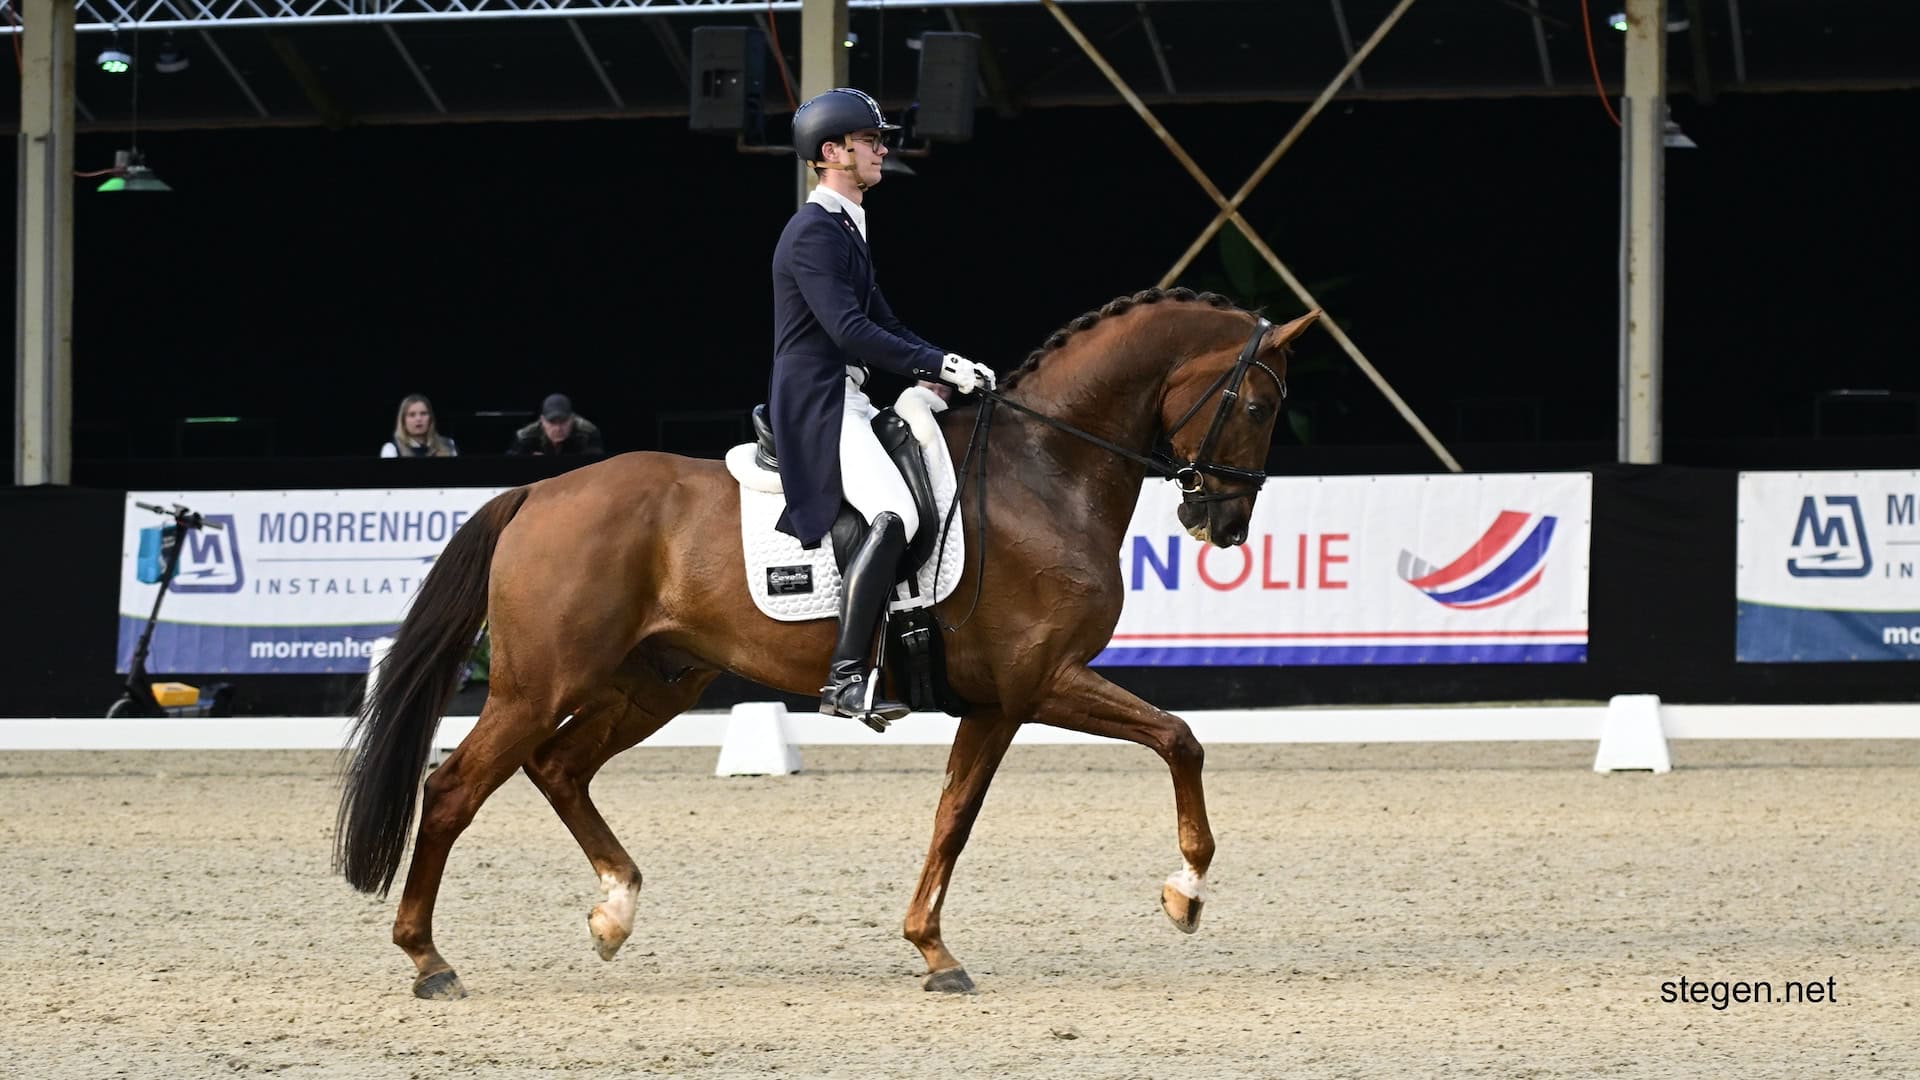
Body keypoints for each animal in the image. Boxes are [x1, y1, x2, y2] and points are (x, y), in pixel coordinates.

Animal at [335, 287, 1320, 1000]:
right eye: (1259, 403)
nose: (1224, 523)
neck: (1045, 472)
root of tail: (536, 492)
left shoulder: (999, 702)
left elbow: (954, 817)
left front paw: (932, 951)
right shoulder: (1043, 681)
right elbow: (1179, 739)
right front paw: (1185, 892)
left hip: (656, 682)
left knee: (559, 768)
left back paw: (613, 911)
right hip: (542, 683)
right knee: (453, 789)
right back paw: (428, 961)